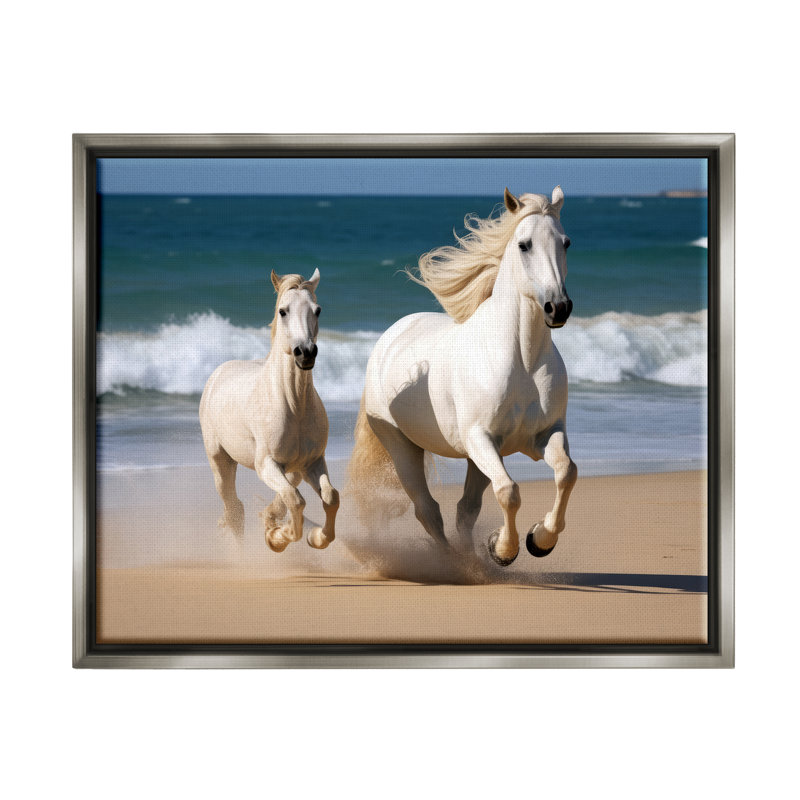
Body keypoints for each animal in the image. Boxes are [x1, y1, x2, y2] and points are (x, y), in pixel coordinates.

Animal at [199, 269, 339, 553]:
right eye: (283, 311)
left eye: (317, 310)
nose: (305, 353)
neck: (294, 406)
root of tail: (218, 373)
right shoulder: (266, 465)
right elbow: (295, 501)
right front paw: (276, 538)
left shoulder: (313, 462)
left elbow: (330, 497)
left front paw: (315, 537)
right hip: (220, 461)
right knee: (234, 509)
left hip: (294, 469)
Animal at [349, 187, 577, 566]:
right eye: (524, 244)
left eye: (566, 242)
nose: (557, 308)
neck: (523, 363)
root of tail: (389, 337)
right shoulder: (480, 439)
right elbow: (509, 491)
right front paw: (504, 550)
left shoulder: (544, 435)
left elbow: (566, 473)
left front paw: (538, 540)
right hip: (402, 447)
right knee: (428, 510)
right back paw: (456, 565)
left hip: (475, 459)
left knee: (464, 509)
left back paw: (473, 561)